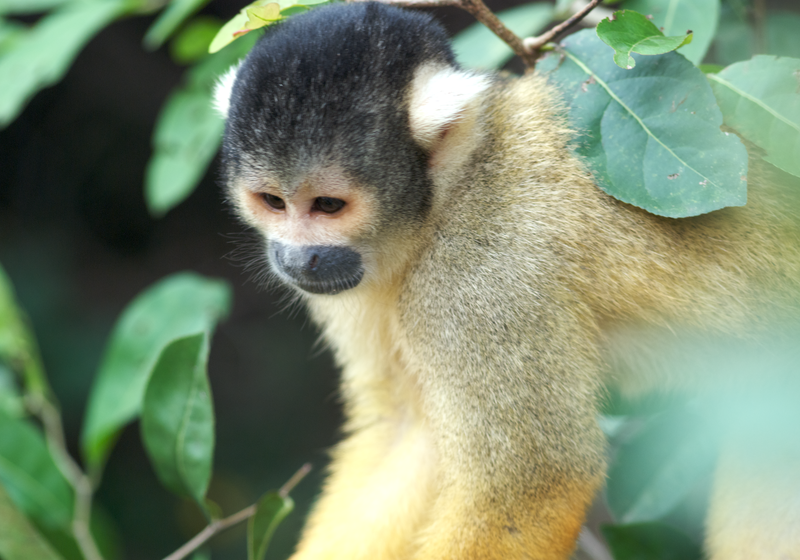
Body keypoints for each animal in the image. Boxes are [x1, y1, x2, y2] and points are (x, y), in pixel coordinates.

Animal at [213, 3, 800, 559]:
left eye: (328, 206)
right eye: (273, 202)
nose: (296, 258)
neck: (450, 196)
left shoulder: (481, 279)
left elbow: (531, 486)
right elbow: (409, 431)